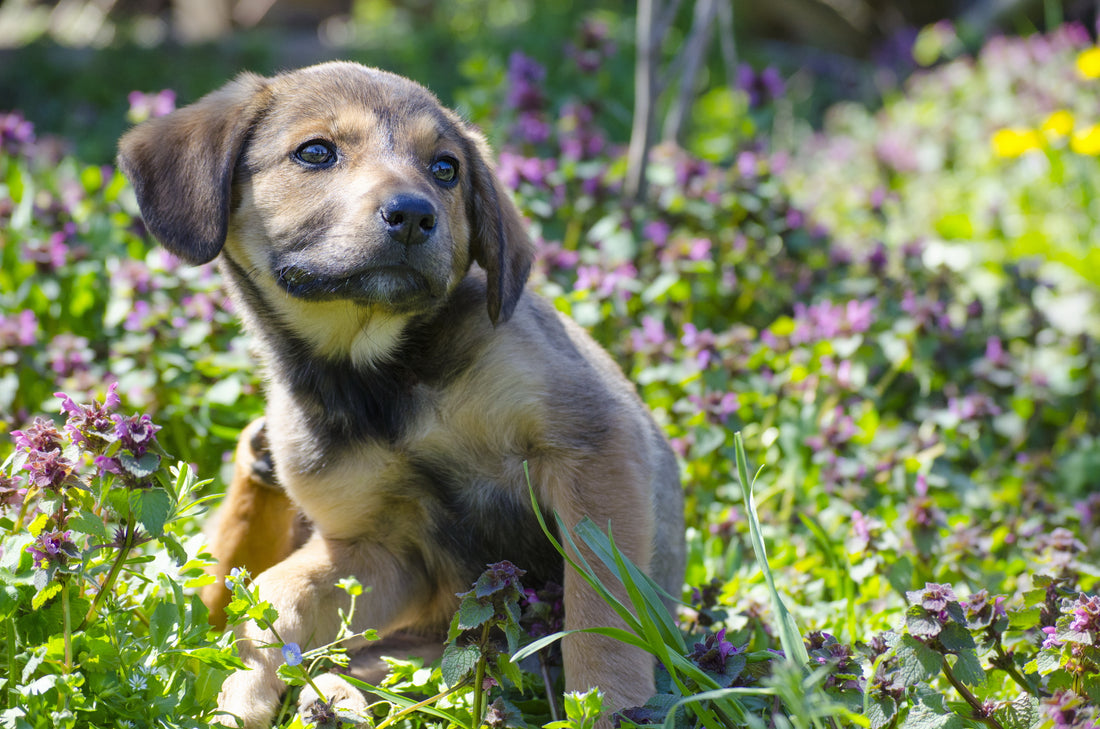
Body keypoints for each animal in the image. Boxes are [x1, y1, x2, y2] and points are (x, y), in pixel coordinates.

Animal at [122, 64, 686, 729]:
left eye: (446, 169)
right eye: (316, 152)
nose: (415, 215)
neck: (375, 376)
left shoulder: (591, 446)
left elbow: (599, 613)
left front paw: (611, 708)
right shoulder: (383, 546)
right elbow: (276, 590)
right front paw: (241, 687)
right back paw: (330, 699)